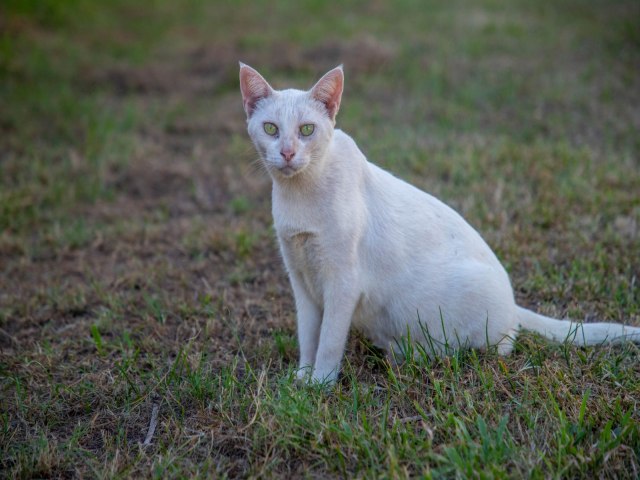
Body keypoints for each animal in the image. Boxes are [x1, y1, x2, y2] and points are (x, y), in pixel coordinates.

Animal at [239, 63, 640, 384]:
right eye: (271, 129)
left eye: (307, 130)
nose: (287, 152)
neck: (299, 196)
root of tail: (513, 301)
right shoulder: (301, 281)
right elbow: (309, 338)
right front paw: (301, 379)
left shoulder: (342, 284)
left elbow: (328, 342)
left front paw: (319, 385)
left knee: (498, 346)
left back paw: (410, 353)